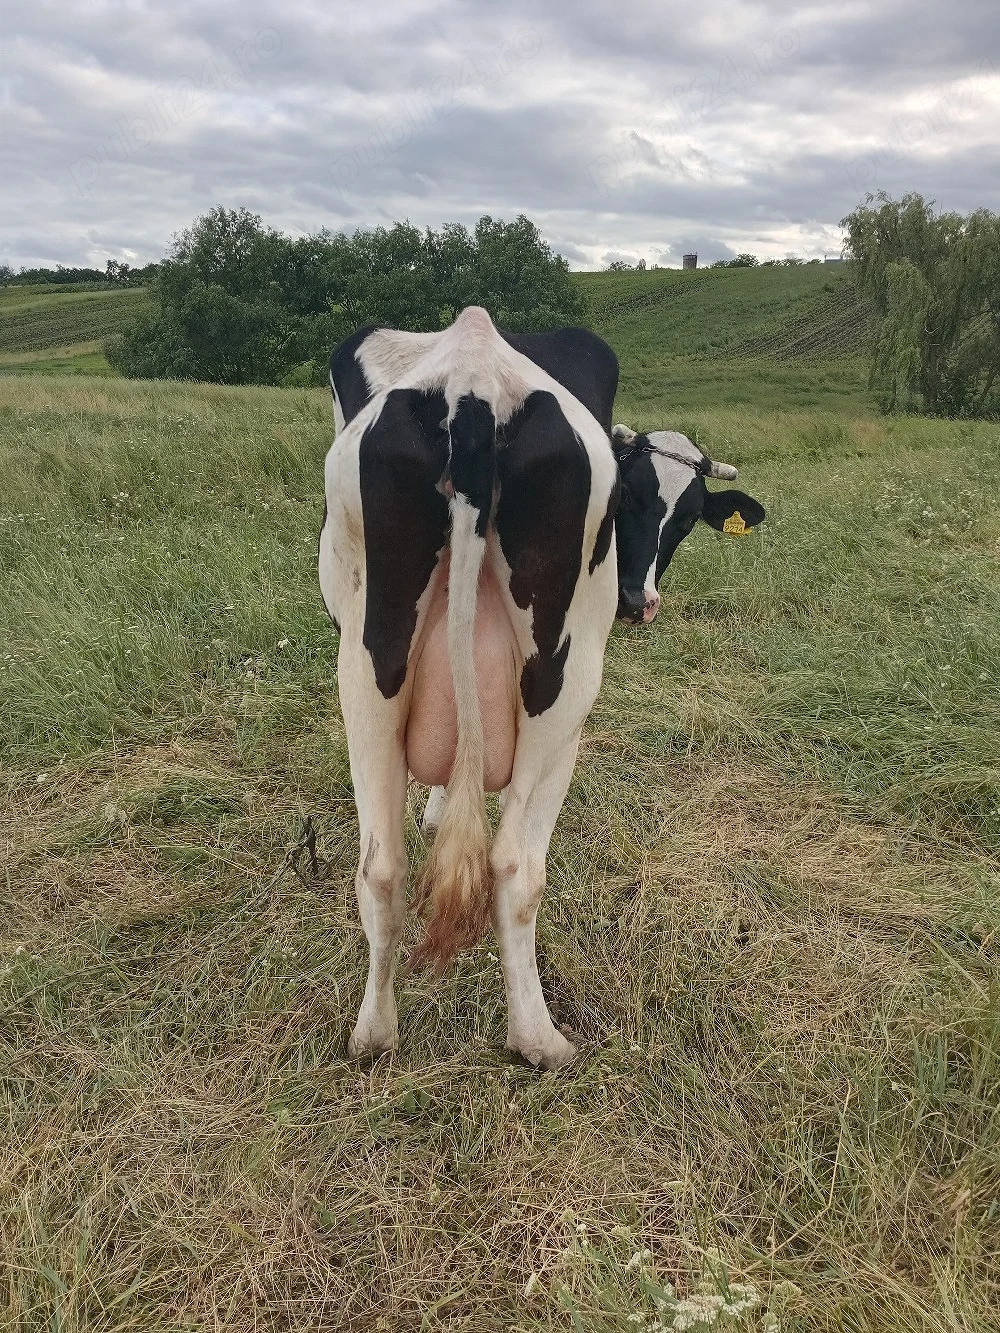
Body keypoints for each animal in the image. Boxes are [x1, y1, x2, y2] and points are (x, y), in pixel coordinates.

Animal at [318, 307, 620, 1069]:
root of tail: (474, 385)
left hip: (367, 663)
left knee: (389, 865)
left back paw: (378, 1033)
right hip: (567, 677)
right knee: (510, 862)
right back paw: (536, 1038)